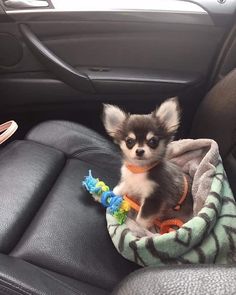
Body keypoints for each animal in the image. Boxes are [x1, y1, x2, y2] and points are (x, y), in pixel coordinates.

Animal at [102, 98, 193, 230]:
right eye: (130, 141)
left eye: (153, 141)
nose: (139, 151)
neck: (139, 170)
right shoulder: (129, 181)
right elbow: (124, 186)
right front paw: (114, 191)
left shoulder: (155, 197)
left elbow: (142, 218)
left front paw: (139, 227)